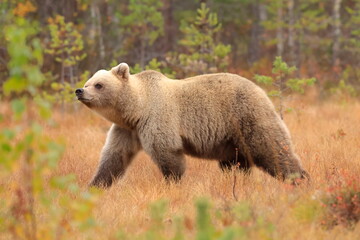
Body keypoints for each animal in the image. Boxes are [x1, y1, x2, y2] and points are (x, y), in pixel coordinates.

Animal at [74, 62, 308, 188]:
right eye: (88, 81)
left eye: (99, 85)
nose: (79, 91)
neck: (136, 110)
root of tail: (260, 89)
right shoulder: (127, 130)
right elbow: (114, 157)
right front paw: (96, 184)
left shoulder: (158, 119)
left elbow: (167, 153)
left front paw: (172, 182)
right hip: (231, 138)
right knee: (236, 163)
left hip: (246, 115)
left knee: (271, 149)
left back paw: (300, 179)